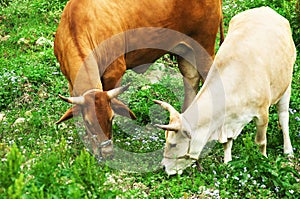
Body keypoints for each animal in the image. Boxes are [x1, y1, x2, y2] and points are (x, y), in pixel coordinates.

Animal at [54, 0, 223, 159]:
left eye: (111, 117)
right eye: (89, 122)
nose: (108, 153)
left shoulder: (114, 72)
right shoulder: (72, 84)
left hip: (204, 45)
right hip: (185, 50)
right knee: (191, 79)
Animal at [155, 6, 296, 175]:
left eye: (173, 144)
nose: (163, 167)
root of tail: (266, 9)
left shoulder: (262, 114)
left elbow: (261, 142)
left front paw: (263, 160)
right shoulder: (227, 121)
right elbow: (227, 143)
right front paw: (228, 164)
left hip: (286, 85)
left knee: (284, 117)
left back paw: (288, 151)